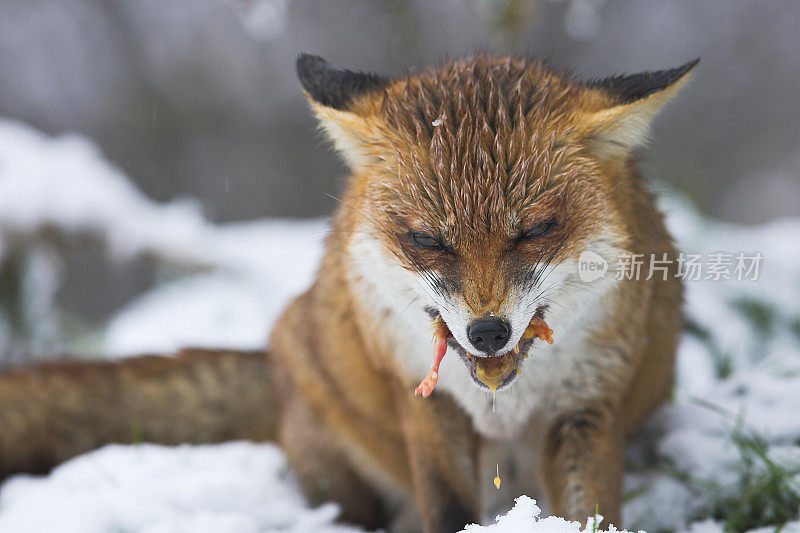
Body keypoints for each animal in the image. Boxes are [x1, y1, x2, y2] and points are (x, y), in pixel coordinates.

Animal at [0, 54, 692, 532]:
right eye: (425, 240)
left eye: (535, 231)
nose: (488, 332)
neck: (505, 403)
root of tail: (278, 356)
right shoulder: (424, 401)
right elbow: (447, 509)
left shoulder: (590, 407)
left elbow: (591, 511)